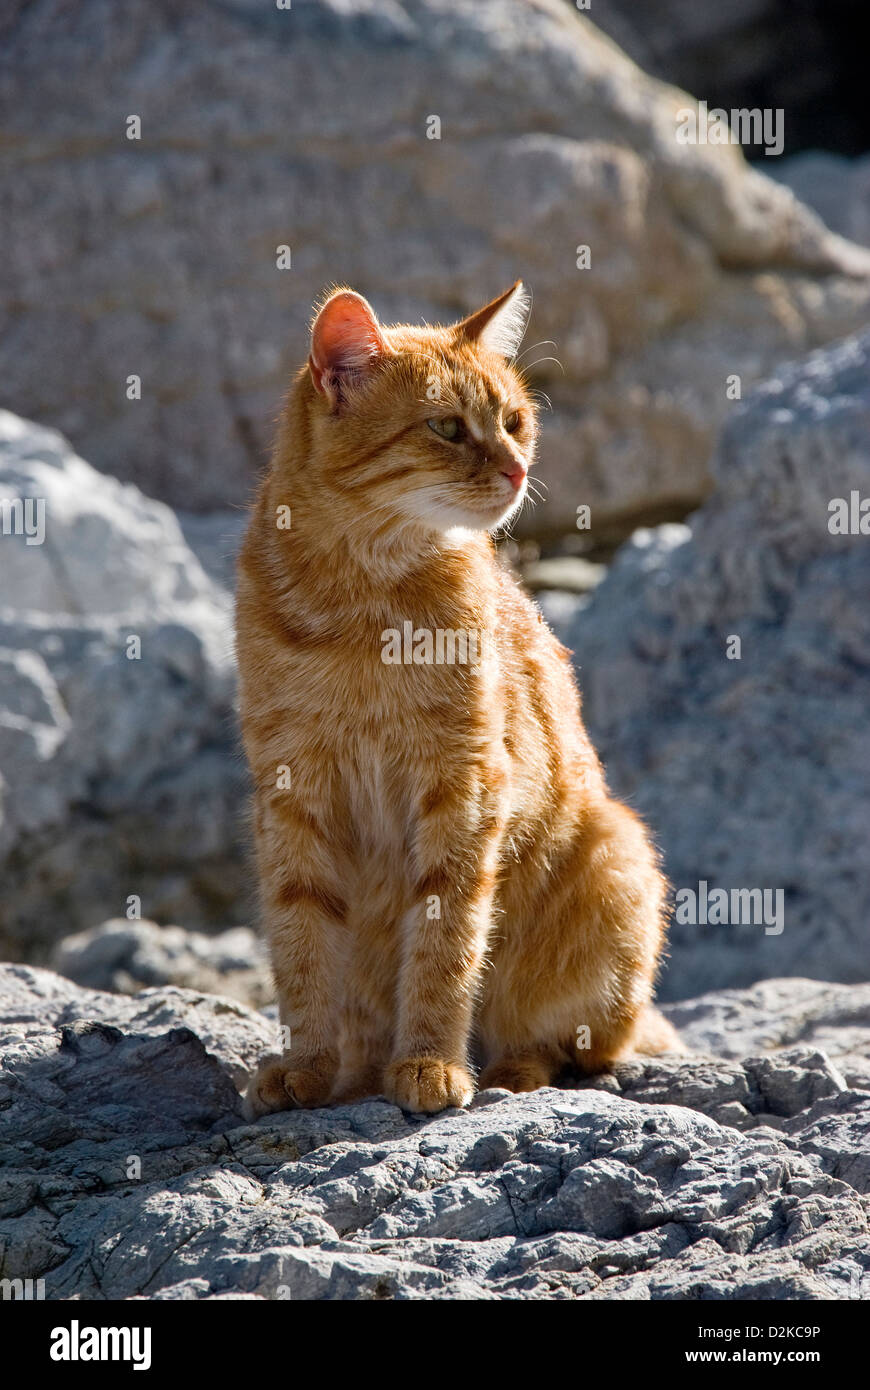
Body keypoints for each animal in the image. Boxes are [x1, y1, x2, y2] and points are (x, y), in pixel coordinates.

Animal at [234, 282, 678, 1117]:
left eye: (515, 421)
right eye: (446, 427)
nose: (516, 470)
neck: (363, 606)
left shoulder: (464, 781)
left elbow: (447, 937)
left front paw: (432, 1062)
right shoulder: (292, 791)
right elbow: (301, 942)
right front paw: (308, 1064)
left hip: (619, 855)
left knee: (582, 1043)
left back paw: (508, 1069)